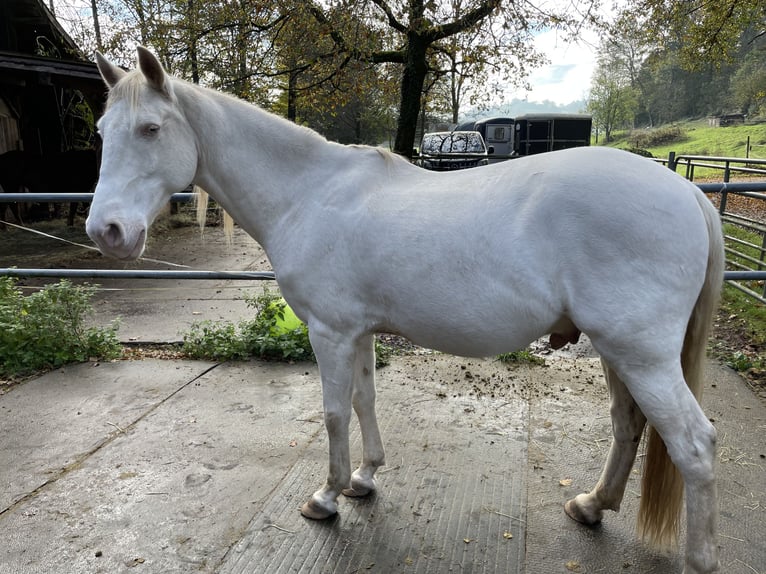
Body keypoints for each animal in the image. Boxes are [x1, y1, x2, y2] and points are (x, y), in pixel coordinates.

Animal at [87, 49, 724, 574]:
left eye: (150, 129)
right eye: (101, 131)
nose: (106, 231)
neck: (308, 194)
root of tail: (688, 192)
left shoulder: (329, 333)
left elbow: (333, 413)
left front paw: (327, 496)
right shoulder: (359, 332)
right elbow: (365, 400)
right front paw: (365, 478)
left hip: (640, 355)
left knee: (693, 445)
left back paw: (696, 558)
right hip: (619, 353)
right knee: (628, 426)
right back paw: (592, 505)